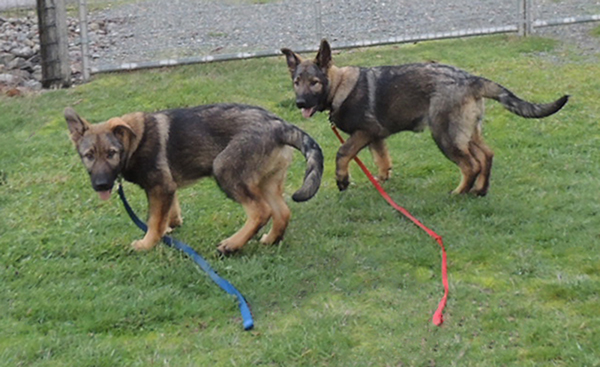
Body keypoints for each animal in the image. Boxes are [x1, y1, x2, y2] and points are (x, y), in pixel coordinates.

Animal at [65, 103, 324, 253]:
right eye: (89, 156)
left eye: (111, 154)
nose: (101, 185)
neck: (133, 141)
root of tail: (279, 125)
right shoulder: (168, 187)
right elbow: (167, 213)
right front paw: (169, 227)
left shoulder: (159, 186)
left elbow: (153, 220)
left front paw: (147, 243)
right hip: (267, 181)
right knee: (282, 212)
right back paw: (270, 239)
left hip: (224, 169)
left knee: (260, 211)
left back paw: (232, 245)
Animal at [282, 38, 568, 197]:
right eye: (297, 82)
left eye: (314, 83)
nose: (300, 103)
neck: (339, 86)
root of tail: (471, 79)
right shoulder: (377, 136)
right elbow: (382, 159)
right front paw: (382, 180)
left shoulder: (365, 132)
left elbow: (343, 153)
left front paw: (342, 181)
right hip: (466, 131)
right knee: (486, 155)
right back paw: (480, 190)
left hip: (445, 135)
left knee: (470, 165)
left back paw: (460, 192)